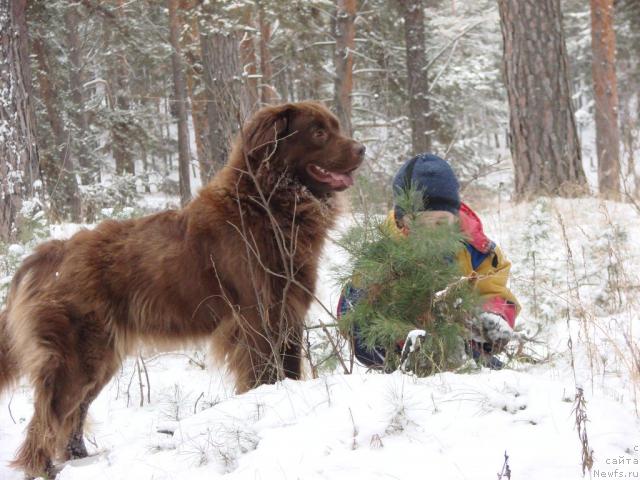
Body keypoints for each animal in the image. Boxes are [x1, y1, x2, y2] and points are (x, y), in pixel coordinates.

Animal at [0, 100, 364, 476]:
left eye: (335, 127)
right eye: (319, 132)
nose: (362, 149)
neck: (266, 204)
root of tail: (51, 253)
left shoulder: (287, 313)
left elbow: (288, 371)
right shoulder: (256, 320)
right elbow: (263, 375)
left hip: (100, 357)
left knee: (71, 416)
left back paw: (79, 460)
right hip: (76, 357)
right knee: (46, 419)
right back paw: (42, 469)